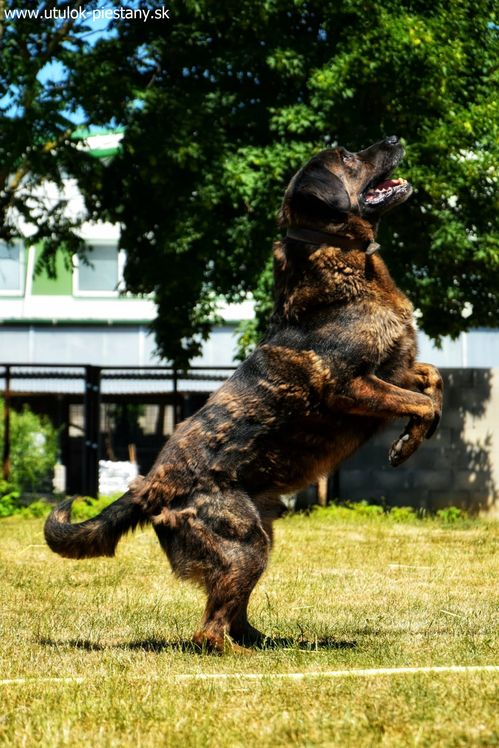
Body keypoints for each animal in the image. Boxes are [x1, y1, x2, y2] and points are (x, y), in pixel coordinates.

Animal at [45, 136, 443, 651]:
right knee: (208, 629)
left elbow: (434, 380)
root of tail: (152, 485)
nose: (393, 139)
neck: (341, 263)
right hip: (244, 544)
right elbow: (423, 401)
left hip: (260, 536)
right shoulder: (351, 385)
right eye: (348, 157)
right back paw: (236, 651)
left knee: (233, 614)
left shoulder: (395, 369)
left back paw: (268, 642)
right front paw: (409, 441)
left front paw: (416, 434)